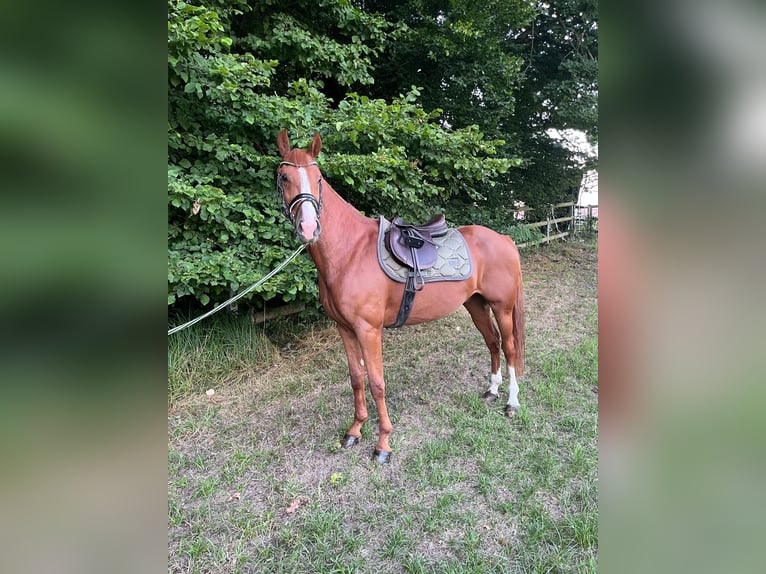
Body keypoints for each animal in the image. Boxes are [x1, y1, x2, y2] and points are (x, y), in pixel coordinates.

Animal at [276, 130, 525, 464]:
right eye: (285, 177)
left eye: (318, 178)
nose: (308, 227)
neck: (350, 252)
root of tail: (504, 239)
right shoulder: (345, 329)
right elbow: (356, 378)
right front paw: (355, 430)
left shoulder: (369, 330)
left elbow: (377, 383)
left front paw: (383, 444)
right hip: (475, 305)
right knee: (492, 342)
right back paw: (492, 391)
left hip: (502, 307)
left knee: (509, 347)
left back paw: (511, 402)